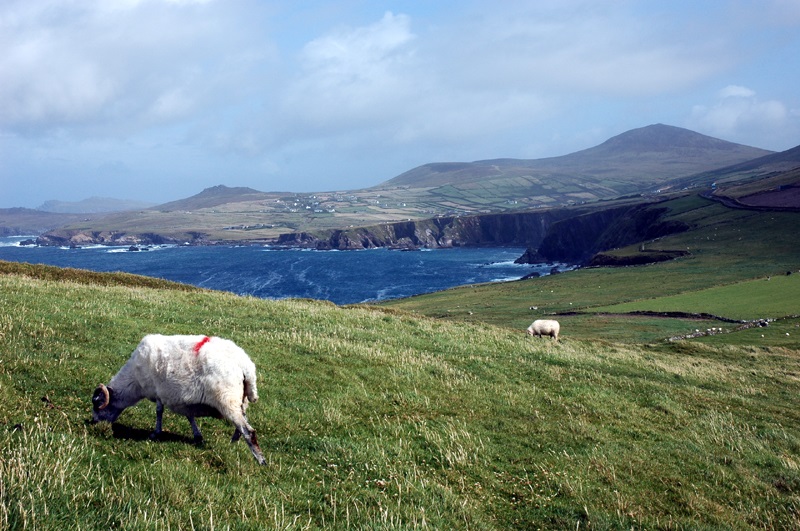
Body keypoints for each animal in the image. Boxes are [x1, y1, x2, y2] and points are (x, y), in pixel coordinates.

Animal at [90, 336, 266, 466]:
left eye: (97, 405)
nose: (93, 422)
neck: (133, 381)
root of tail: (246, 366)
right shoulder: (184, 401)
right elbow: (190, 417)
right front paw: (197, 436)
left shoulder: (158, 392)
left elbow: (159, 412)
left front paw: (155, 433)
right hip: (241, 401)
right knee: (241, 425)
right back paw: (232, 444)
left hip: (227, 400)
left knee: (248, 431)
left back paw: (261, 460)